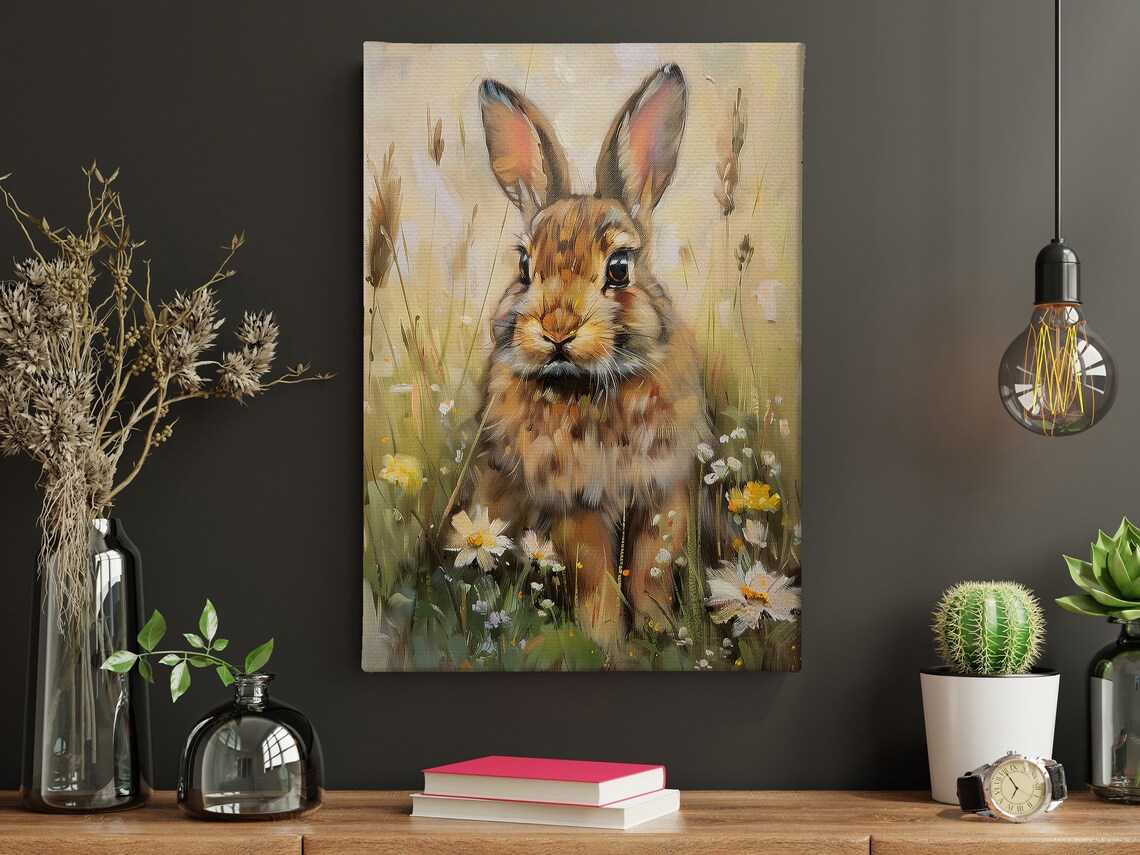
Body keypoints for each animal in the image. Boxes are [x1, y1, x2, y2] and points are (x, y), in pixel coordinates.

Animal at [471, 64, 715, 656]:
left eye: (620, 267)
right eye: (524, 265)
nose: (557, 329)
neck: (593, 384)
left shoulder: (663, 493)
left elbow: (652, 569)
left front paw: (660, 635)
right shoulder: (573, 504)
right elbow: (596, 578)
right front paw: (608, 647)